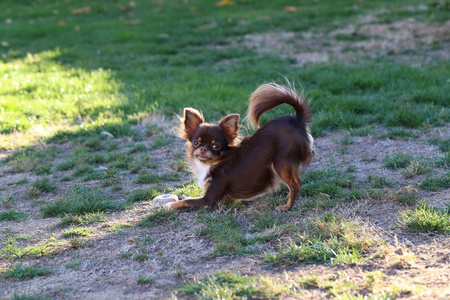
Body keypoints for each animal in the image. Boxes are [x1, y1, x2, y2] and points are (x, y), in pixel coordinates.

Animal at [165, 82, 312, 212]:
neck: (214, 163)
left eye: (216, 146)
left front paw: (169, 205)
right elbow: (189, 197)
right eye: (196, 142)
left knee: (295, 184)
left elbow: (187, 201)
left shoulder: (208, 201)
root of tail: (296, 120)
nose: (203, 148)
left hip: (280, 163)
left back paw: (287, 207)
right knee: (296, 181)